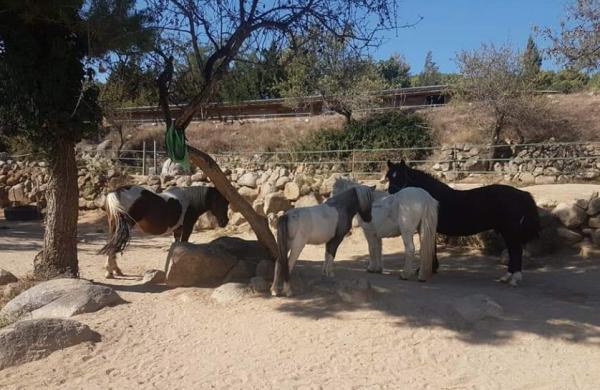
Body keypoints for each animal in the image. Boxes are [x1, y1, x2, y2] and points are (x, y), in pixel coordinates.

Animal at [98, 184, 230, 278]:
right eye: (221, 201)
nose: (225, 222)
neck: (190, 201)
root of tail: (117, 191)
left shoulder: (177, 230)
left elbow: (176, 245)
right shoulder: (187, 228)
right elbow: (184, 243)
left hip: (114, 225)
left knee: (112, 245)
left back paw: (114, 271)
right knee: (114, 247)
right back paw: (110, 272)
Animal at [386, 159, 540, 286]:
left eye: (401, 176)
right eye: (389, 176)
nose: (392, 193)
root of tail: (521, 194)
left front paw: (424, 269)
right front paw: (432, 268)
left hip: (510, 232)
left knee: (516, 251)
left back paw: (513, 279)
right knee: (513, 251)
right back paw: (506, 277)